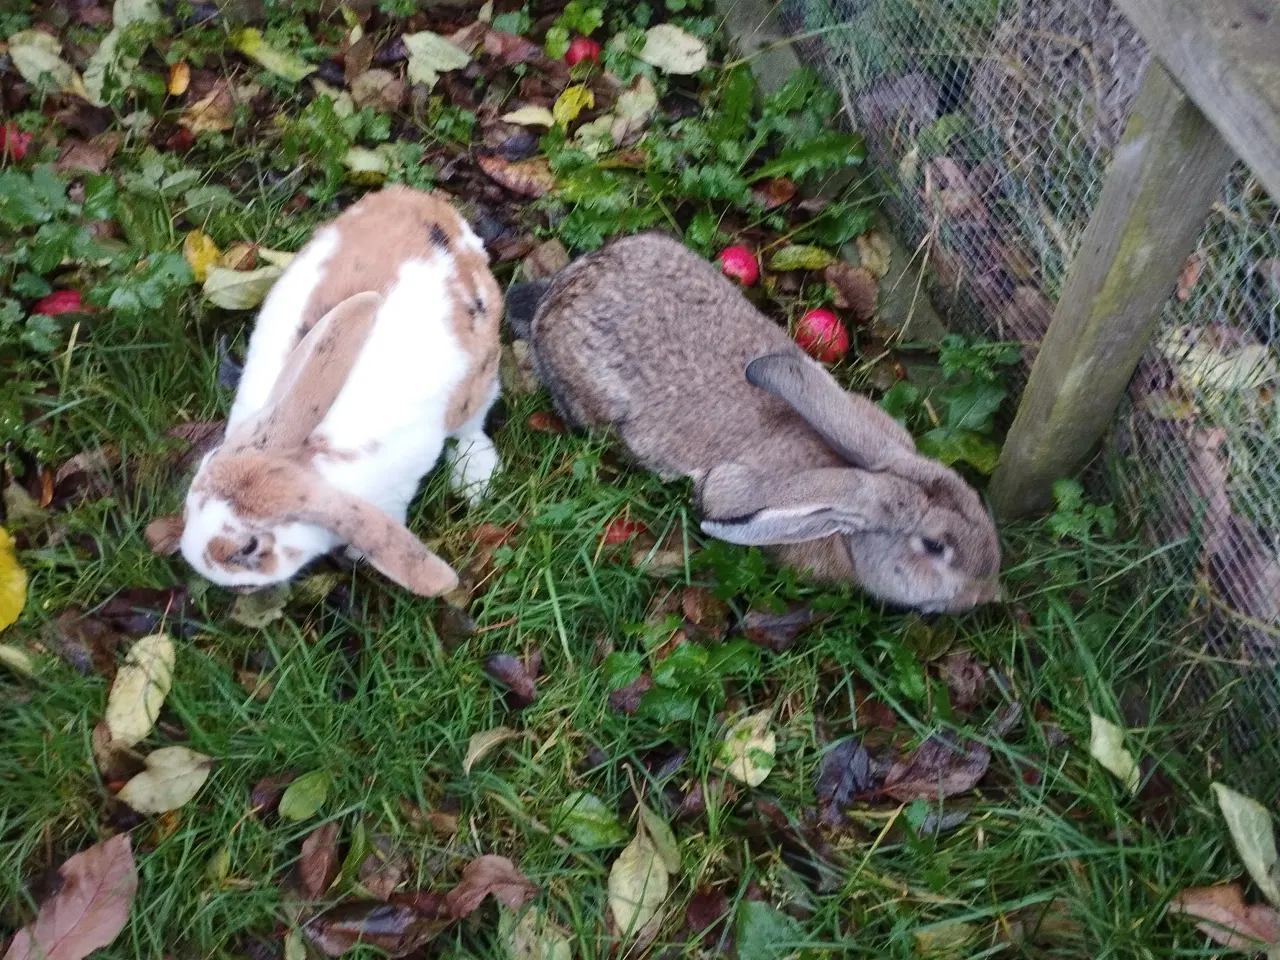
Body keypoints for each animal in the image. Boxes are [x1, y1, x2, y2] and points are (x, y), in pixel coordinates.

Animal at [163, 184, 499, 599]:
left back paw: (476, 475)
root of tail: (429, 205)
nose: (195, 561)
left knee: (474, 422)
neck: (306, 456)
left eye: (249, 547)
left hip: (481, 373)